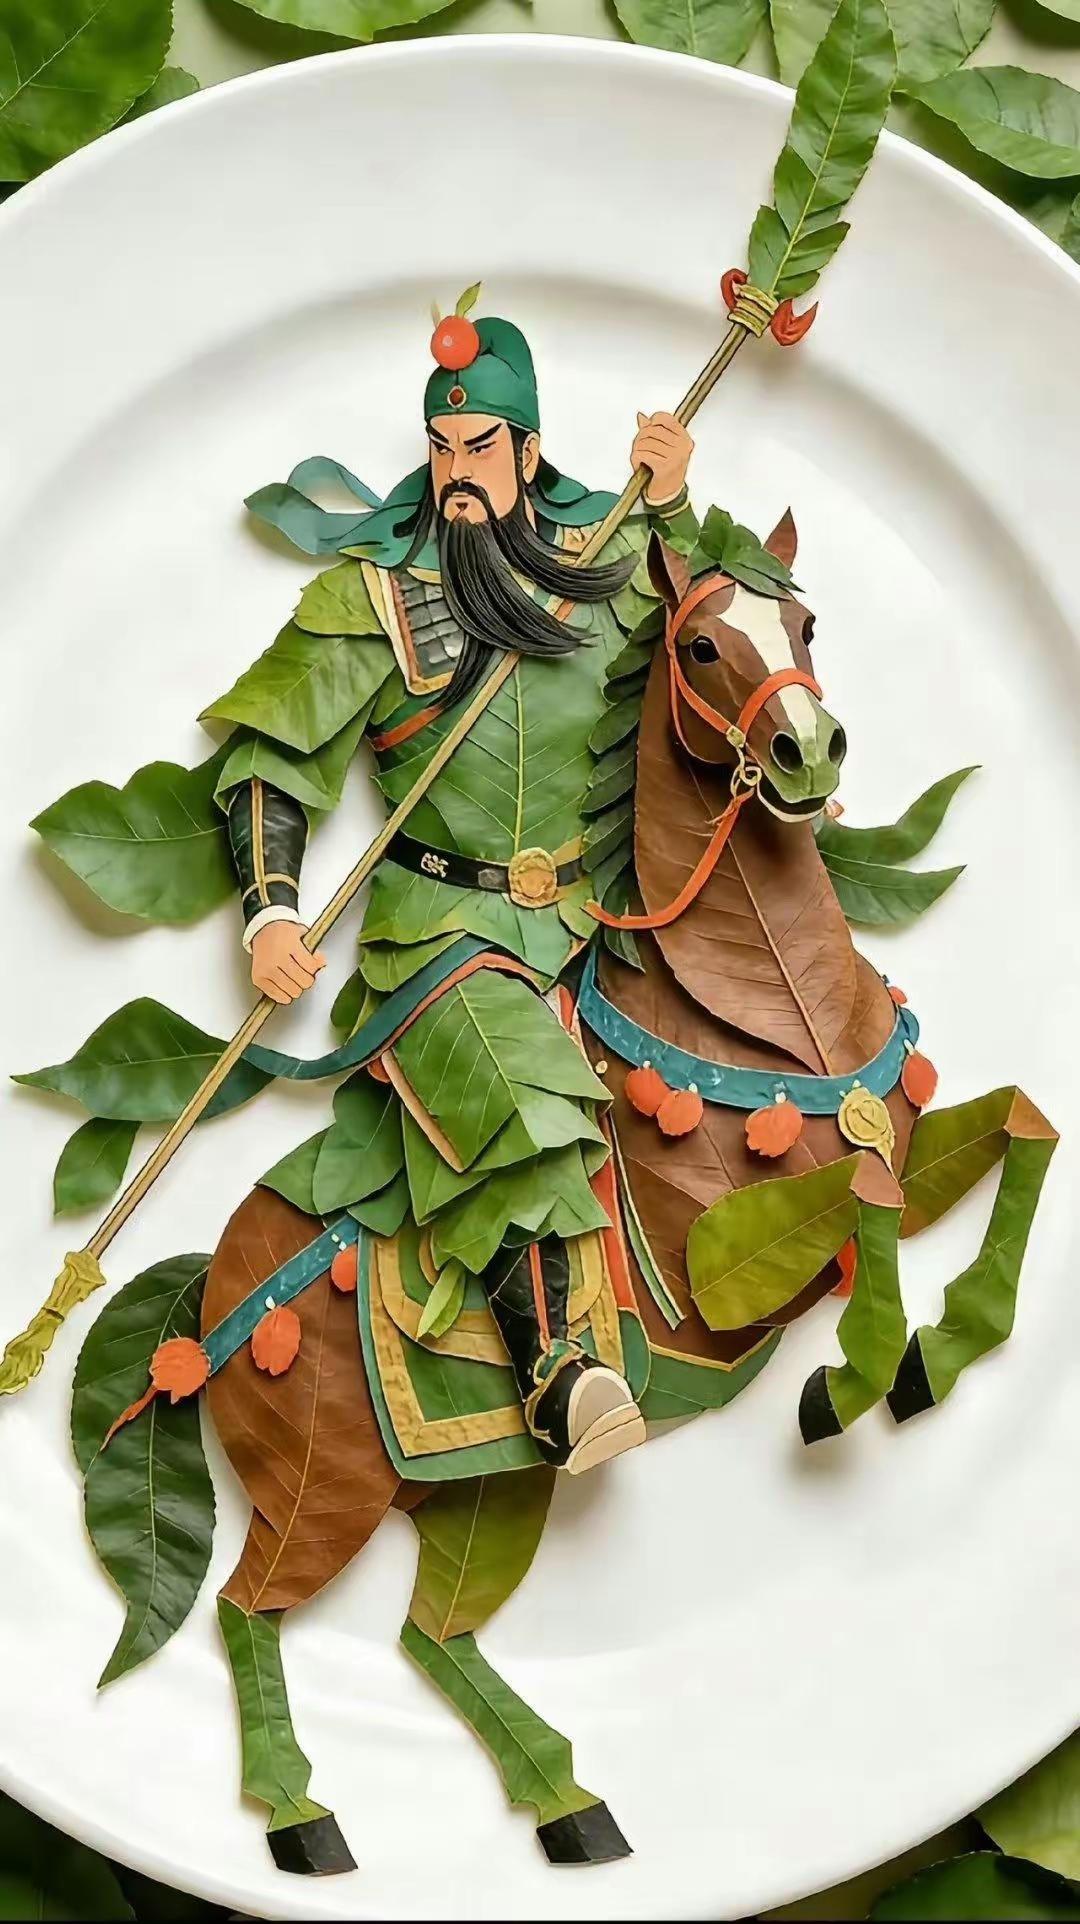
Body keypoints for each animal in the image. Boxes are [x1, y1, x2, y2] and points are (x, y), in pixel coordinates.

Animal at [197, 516, 1056, 1877]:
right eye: (703, 645)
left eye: (806, 623)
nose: (808, 748)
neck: (771, 1016)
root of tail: (210, 1291)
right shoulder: (717, 1279)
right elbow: (863, 1200)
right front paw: (854, 1376)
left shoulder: (908, 1154)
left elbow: (1020, 1127)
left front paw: (935, 1352)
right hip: (321, 1488)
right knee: (248, 1607)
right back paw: (301, 1814)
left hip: (490, 1488)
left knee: (432, 1631)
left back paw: (566, 1799)